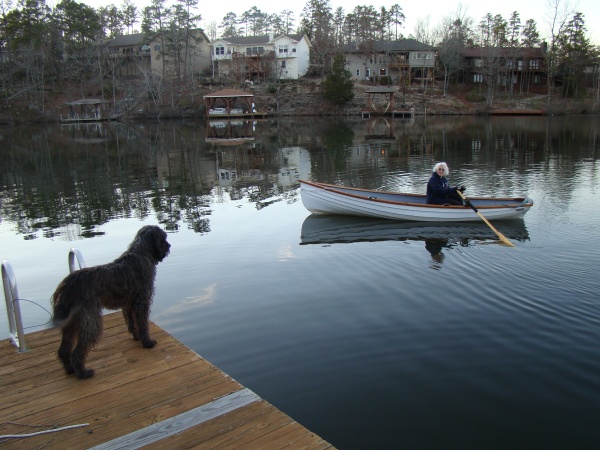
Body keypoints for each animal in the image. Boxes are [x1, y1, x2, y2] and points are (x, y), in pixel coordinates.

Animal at [51, 227, 171, 378]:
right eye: (164, 238)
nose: (169, 246)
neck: (141, 252)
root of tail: (67, 285)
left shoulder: (128, 304)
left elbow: (133, 323)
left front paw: (137, 337)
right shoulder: (141, 302)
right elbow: (143, 324)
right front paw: (147, 342)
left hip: (71, 323)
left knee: (64, 349)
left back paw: (70, 369)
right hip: (91, 321)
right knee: (77, 352)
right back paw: (83, 373)